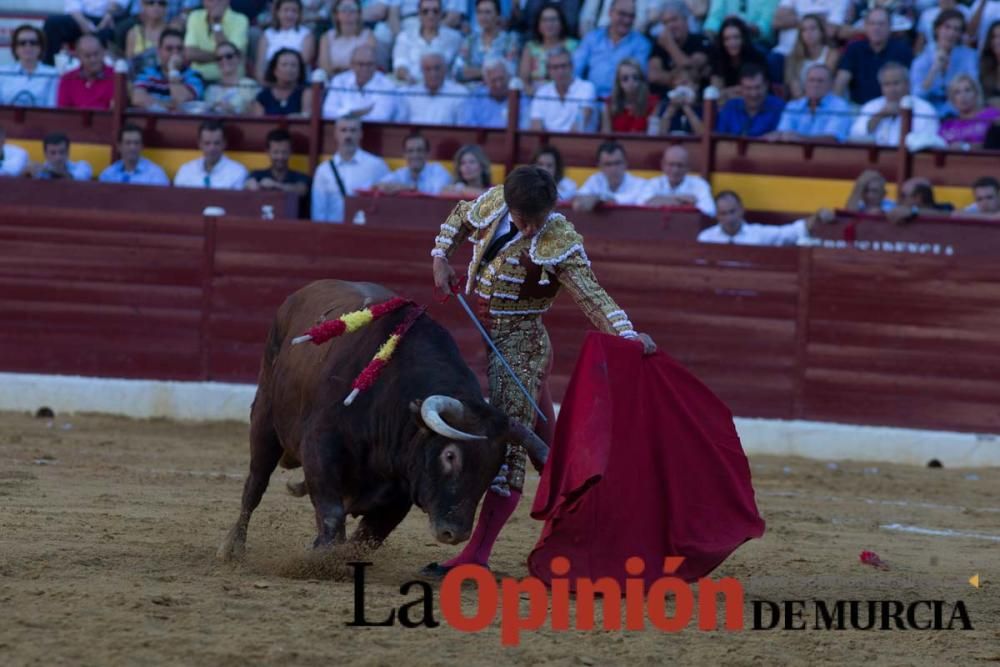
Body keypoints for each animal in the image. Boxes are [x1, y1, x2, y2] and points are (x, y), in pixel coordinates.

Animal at [215, 280, 552, 560]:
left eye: (493, 467)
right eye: (450, 455)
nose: (454, 533)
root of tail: (297, 295)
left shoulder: (404, 484)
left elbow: (370, 536)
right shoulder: (320, 447)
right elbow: (331, 511)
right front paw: (320, 560)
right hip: (264, 418)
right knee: (255, 484)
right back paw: (233, 548)